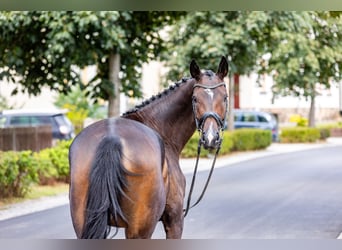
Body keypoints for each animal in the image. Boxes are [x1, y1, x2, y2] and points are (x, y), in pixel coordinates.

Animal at [68, 56, 228, 238]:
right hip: (141, 227)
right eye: (195, 99)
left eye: (225, 98)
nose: (210, 138)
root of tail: (111, 138)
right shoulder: (175, 219)